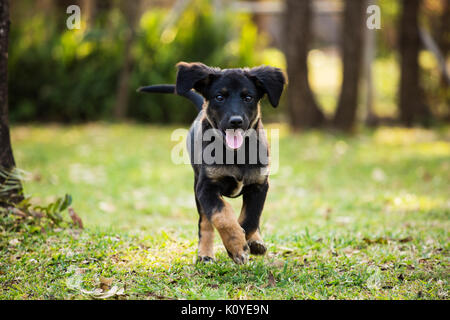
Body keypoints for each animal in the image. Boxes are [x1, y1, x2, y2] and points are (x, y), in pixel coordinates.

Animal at [138, 61, 284, 264]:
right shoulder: (206, 187)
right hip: (196, 187)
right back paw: (205, 254)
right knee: (205, 223)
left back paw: (256, 241)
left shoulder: (259, 185)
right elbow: (221, 215)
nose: (236, 121)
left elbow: (251, 218)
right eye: (219, 97)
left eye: (248, 98)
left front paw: (245, 242)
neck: (236, 154)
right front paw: (235, 246)